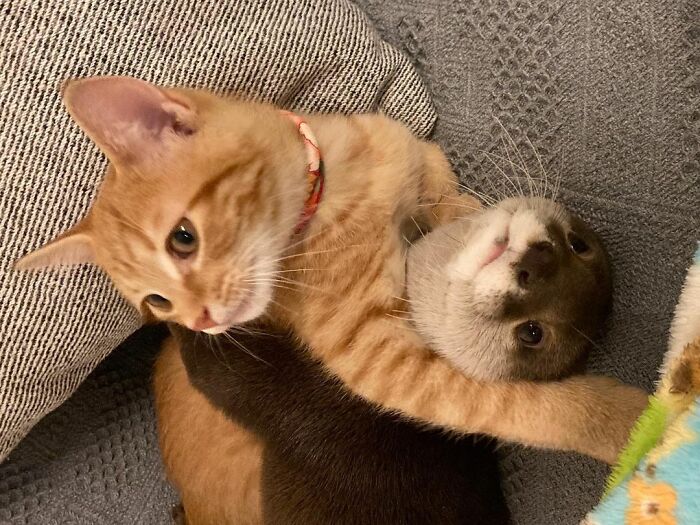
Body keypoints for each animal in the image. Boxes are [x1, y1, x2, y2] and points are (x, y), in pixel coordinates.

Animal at [19, 79, 644, 504]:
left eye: (182, 239)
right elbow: (499, 403)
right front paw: (621, 421)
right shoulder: (377, 359)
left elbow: (450, 201)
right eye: (156, 303)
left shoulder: (419, 157)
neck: (340, 192)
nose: (201, 321)